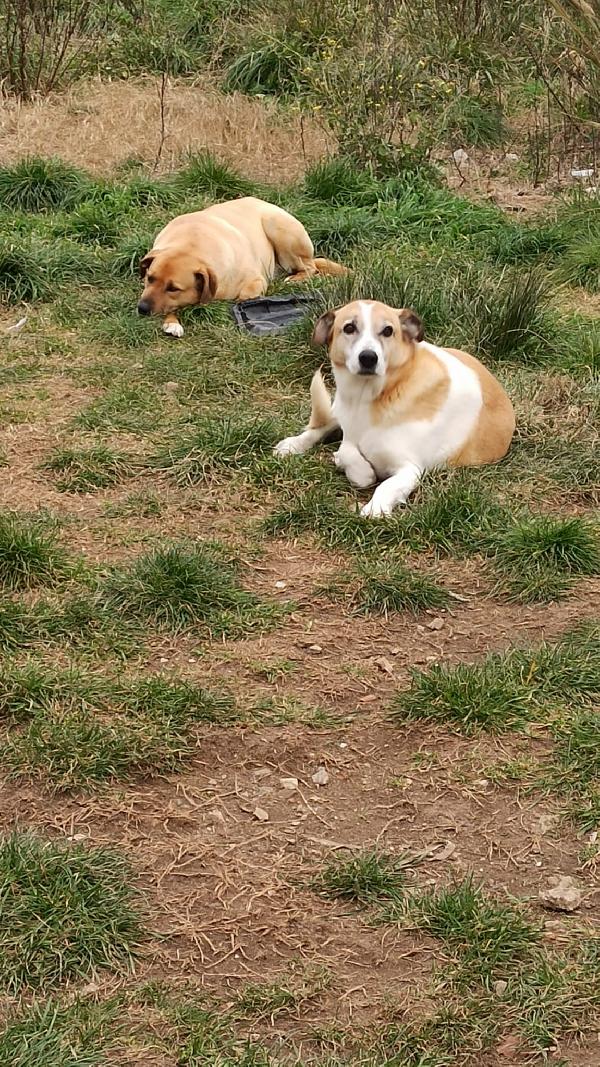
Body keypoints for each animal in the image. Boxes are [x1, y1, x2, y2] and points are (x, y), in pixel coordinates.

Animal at [137, 196, 343, 337]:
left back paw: (295, 278)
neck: (192, 245)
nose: (142, 308)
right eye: (149, 278)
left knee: (310, 267)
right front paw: (172, 322)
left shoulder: (255, 280)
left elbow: (244, 296)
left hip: (279, 230)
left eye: (173, 288)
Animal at [273, 300, 512, 516]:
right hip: (336, 411)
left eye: (388, 330)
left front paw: (375, 509)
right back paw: (293, 444)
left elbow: (384, 484)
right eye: (349, 327)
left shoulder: (411, 469)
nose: (368, 358)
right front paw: (352, 465)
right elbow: (350, 453)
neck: (375, 397)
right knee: (325, 425)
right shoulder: (351, 435)